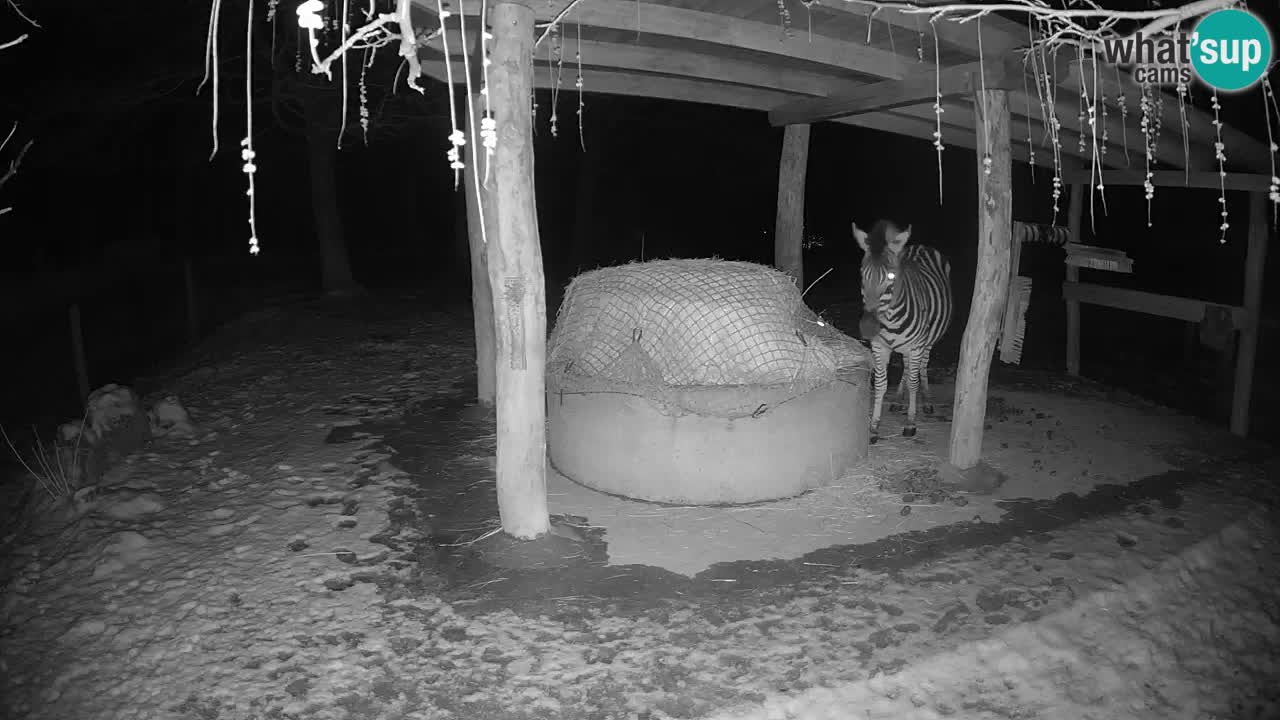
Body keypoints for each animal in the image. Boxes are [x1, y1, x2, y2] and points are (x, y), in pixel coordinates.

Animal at [849, 219, 952, 443]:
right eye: (862, 274)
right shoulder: (879, 346)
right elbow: (880, 384)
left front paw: (911, 423)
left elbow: (913, 382)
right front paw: (874, 427)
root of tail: (921, 246)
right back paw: (897, 400)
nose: (868, 328)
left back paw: (927, 401)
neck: (889, 319)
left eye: (891, 276)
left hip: (926, 343)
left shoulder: (917, 345)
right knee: (906, 366)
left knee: (921, 367)